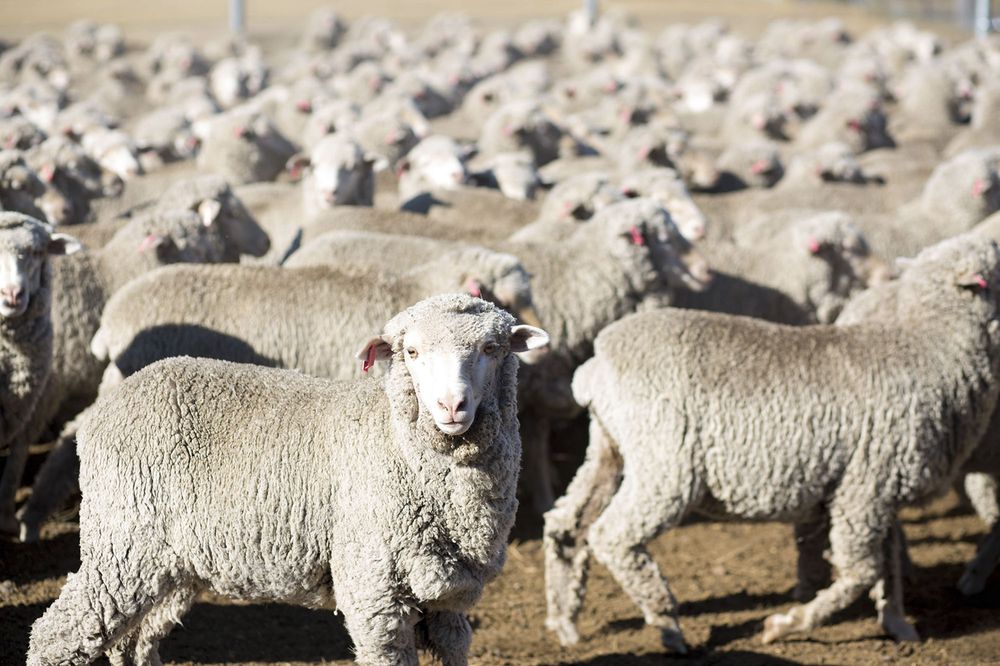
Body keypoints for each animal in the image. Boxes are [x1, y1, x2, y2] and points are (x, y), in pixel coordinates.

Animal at [26, 294, 548, 666]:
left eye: (491, 348)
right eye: (412, 352)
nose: (451, 406)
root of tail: (107, 405)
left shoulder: (450, 597)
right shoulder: (373, 590)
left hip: (168, 560)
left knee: (133, 641)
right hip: (123, 541)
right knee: (56, 635)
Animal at [545, 233, 1000, 651]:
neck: (931, 347)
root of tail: (596, 364)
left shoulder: (879, 492)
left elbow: (887, 568)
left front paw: (899, 625)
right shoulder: (864, 490)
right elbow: (861, 573)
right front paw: (785, 625)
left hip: (608, 449)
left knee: (567, 523)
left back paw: (564, 623)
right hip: (665, 462)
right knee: (612, 535)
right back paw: (666, 622)